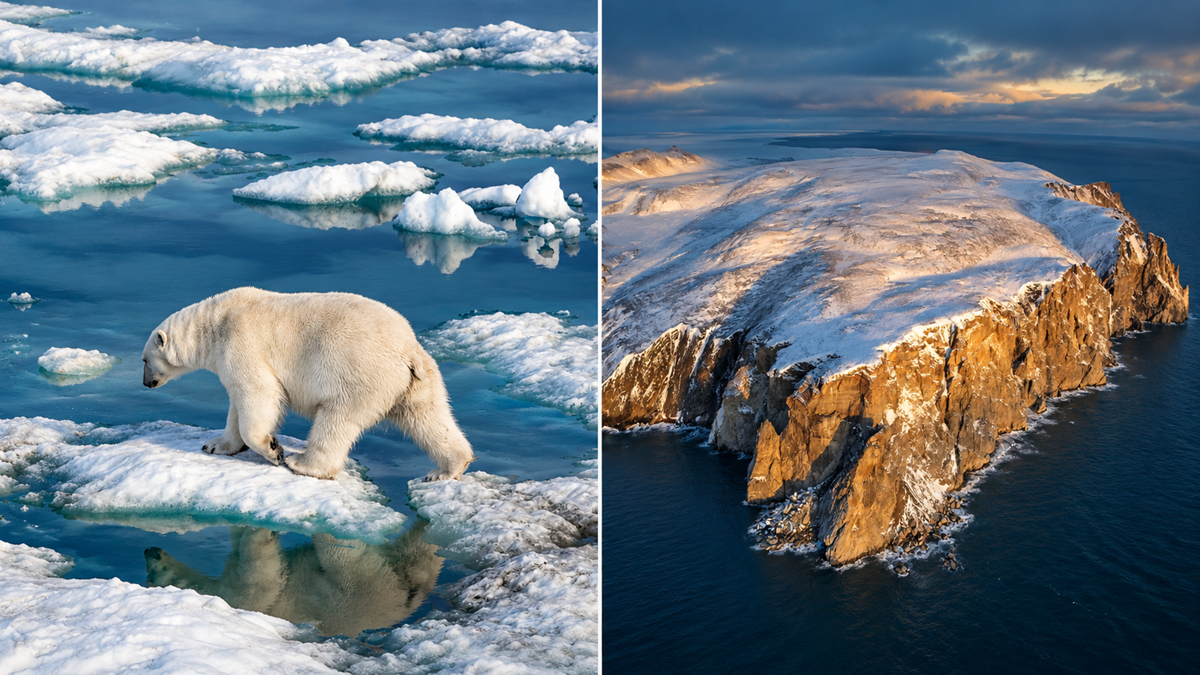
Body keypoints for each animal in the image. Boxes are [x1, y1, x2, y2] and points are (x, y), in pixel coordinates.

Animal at [141, 287, 474, 480]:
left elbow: (259, 393)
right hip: (417, 380)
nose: (145, 383)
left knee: (337, 419)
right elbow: (237, 403)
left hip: (358, 373)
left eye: (144, 360)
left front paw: (273, 449)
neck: (214, 323)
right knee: (427, 418)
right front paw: (215, 445)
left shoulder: (241, 342)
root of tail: (407, 350)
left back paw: (303, 463)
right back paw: (447, 469)